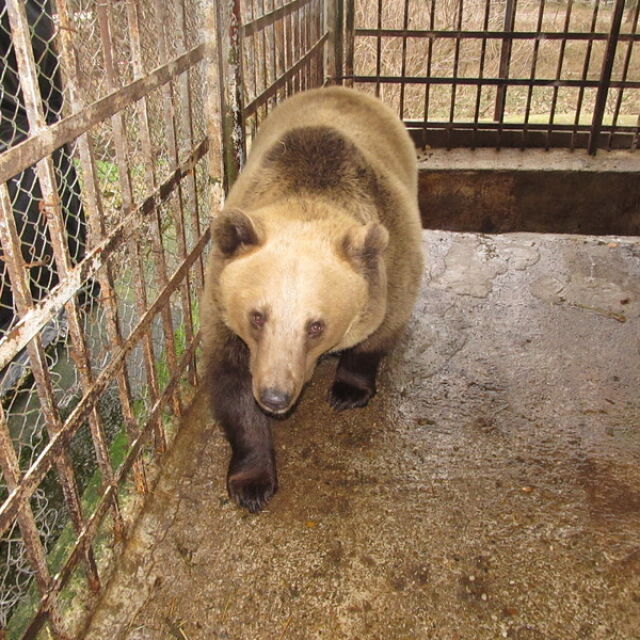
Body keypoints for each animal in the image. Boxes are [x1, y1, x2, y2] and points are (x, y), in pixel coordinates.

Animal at [202, 86, 422, 516]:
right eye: (257, 316)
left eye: (316, 325)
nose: (275, 395)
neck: (309, 193)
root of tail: (342, 88)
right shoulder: (222, 310)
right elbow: (232, 390)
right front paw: (251, 483)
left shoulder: (394, 263)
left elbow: (377, 335)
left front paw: (348, 390)